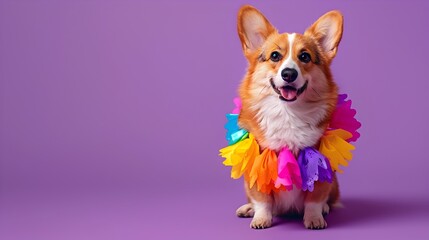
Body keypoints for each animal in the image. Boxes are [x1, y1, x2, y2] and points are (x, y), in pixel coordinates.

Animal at [232, 6, 342, 229]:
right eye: (275, 56)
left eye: (305, 57)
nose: (289, 74)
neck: (288, 113)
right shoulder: (258, 163)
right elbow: (262, 200)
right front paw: (261, 218)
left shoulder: (319, 165)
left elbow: (314, 200)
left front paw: (314, 218)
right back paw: (248, 209)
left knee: (330, 200)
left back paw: (326, 209)